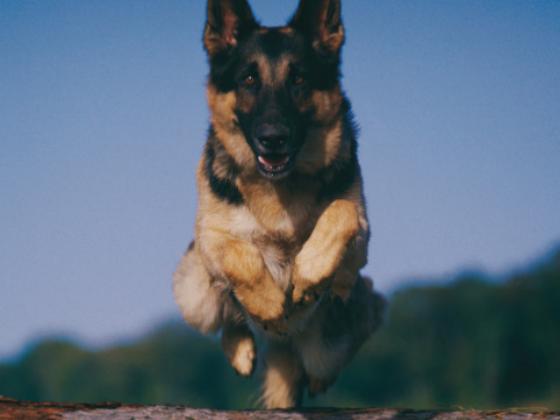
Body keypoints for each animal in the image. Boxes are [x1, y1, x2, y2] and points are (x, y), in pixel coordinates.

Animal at [175, 0, 384, 408]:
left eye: (299, 79)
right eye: (248, 79)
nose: (273, 138)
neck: (279, 189)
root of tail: (283, 346)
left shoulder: (360, 242)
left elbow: (341, 212)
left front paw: (307, 274)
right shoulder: (210, 235)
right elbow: (241, 259)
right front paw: (271, 305)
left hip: (341, 329)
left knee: (343, 341)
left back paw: (316, 374)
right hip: (193, 293)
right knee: (229, 317)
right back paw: (243, 348)